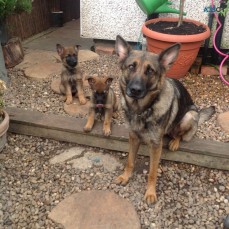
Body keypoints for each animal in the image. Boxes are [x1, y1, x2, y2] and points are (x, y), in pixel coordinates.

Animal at [115, 35, 216, 204]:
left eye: (150, 71)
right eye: (131, 67)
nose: (135, 90)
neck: (142, 110)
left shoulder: (156, 146)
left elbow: (152, 172)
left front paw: (150, 192)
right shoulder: (133, 138)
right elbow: (130, 161)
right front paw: (125, 176)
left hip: (189, 116)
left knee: (179, 134)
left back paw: (175, 141)